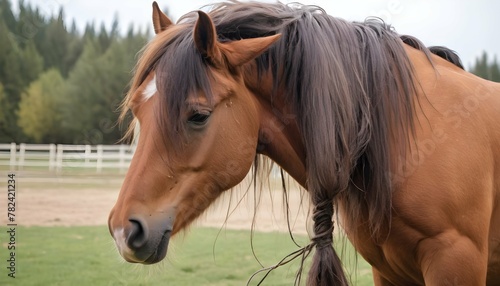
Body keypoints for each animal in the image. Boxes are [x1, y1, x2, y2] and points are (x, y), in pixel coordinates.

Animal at [108, 1, 500, 284]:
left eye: (199, 115)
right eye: (138, 112)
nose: (124, 230)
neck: (404, 135)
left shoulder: (455, 260)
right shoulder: (388, 271)